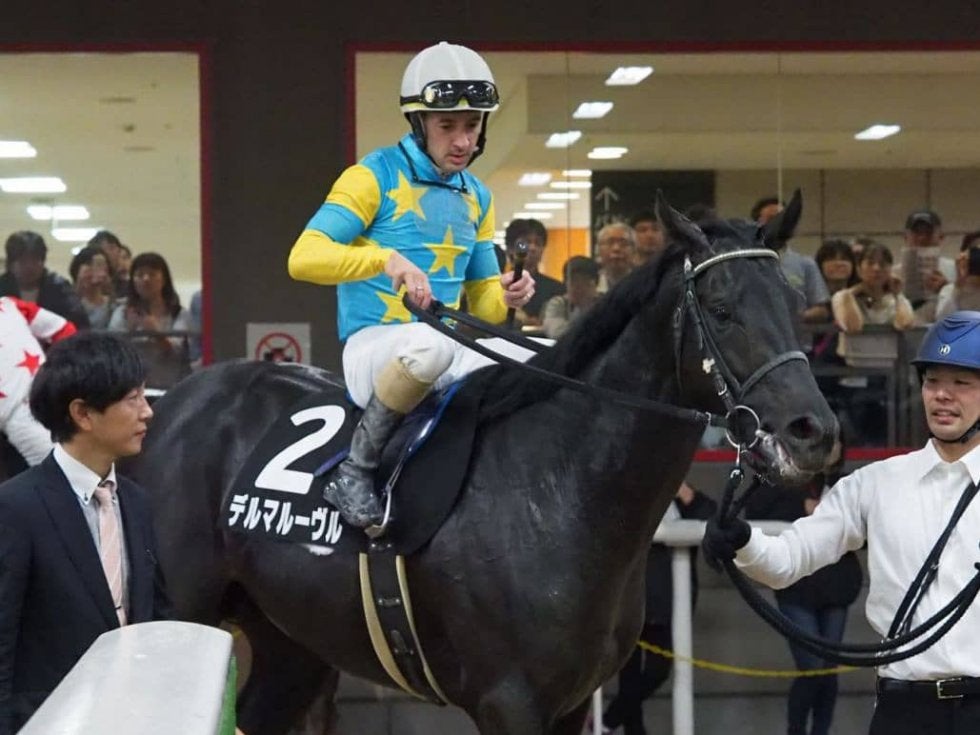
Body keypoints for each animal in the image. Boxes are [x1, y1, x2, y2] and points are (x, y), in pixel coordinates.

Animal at [129, 194, 837, 735]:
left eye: (795, 305)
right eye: (721, 310)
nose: (814, 431)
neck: (558, 486)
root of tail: (172, 402)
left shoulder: (571, 704)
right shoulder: (508, 702)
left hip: (291, 639)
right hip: (178, 611)